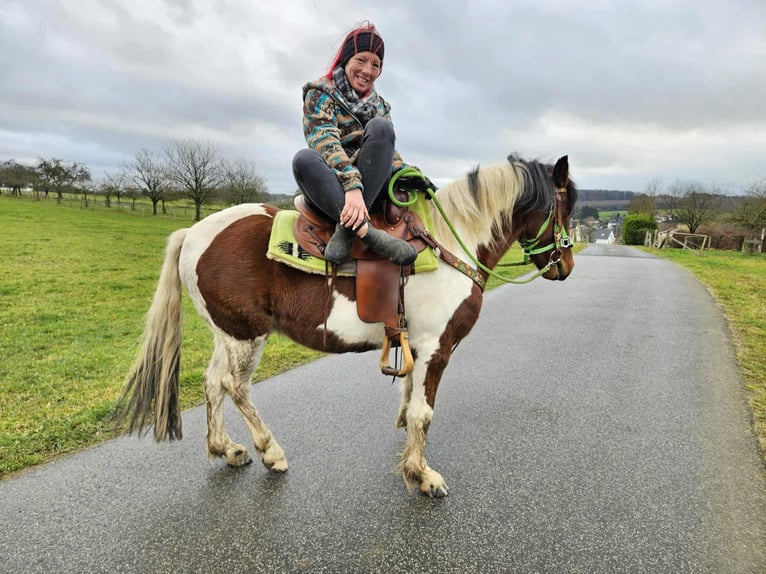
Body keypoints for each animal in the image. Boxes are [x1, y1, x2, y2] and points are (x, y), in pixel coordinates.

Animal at [116, 154, 577, 497]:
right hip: (247, 335)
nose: (567, 266)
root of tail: (194, 232)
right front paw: (422, 475)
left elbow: (410, 402)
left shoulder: (417, 346)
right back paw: (271, 451)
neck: (450, 244)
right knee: (235, 386)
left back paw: (226, 449)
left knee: (213, 382)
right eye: (566, 208)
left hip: (227, 333)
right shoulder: (436, 347)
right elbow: (424, 412)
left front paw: (409, 453)